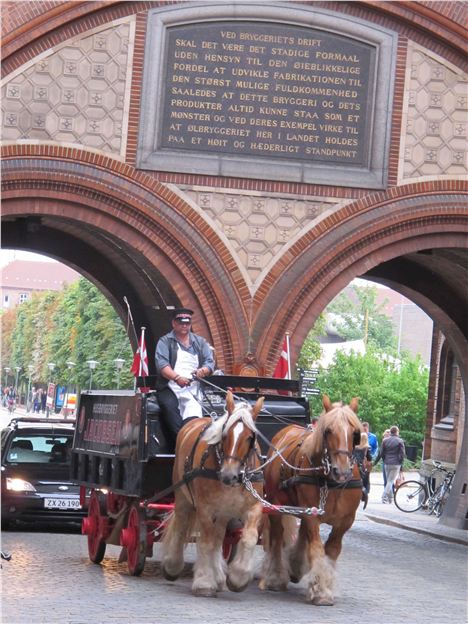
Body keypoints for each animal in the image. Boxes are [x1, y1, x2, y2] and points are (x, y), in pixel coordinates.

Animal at [161, 392, 264, 596]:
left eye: (250, 437)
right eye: (225, 435)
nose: (229, 475)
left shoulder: (253, 507)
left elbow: (248, 538)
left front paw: (238, 577)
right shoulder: (205, 509)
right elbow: (205, 543)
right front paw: (204, 582)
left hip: (223, 512)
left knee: (218, 539)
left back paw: (219, 575)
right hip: (183, 497)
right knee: (181, 526)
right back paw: (173, 565)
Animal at [262, 394, 364, 604]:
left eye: (355, 433)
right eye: (328, 431)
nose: (342, 472)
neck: (329, 482)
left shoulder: (345, 520)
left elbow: (332, 550)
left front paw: (325, 584)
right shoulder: (311, 515)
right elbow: (317, 548)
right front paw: (320, 591)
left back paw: (295, 566)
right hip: (276, 504)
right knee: (277, 537)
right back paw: (276, 577)